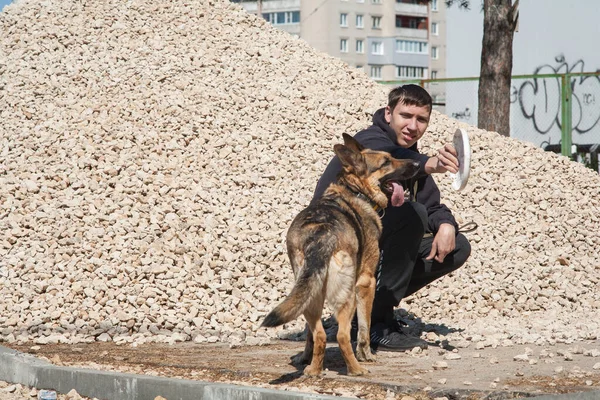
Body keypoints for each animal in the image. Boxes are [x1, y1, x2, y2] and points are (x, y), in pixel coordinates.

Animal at [260, 134, 420, 376]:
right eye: (386, 162)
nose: (418, 164)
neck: (355, 190)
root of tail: (321, 235)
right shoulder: (366, 283)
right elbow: (364, 327)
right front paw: (366, 355)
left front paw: (305, 358)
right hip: (348, 295)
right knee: (342, 335)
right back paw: (356, 369)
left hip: (309, 294)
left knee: (318, 333)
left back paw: (314, 369)